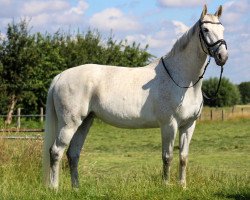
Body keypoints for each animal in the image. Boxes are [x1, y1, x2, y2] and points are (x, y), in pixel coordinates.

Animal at [43, 5, 229, 189]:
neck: (181, 79)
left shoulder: (188, 125)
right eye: (205, 29)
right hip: (69, 124)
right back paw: (54, 188)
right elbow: (167, 157)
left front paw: (182, 187)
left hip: (85, 122)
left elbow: (183, 157)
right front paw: (166, 186)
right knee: (56, 151)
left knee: (73, 153)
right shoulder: (169, 124)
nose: (223, 56)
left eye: (222, 29)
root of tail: (60, 76)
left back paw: (76, 189)